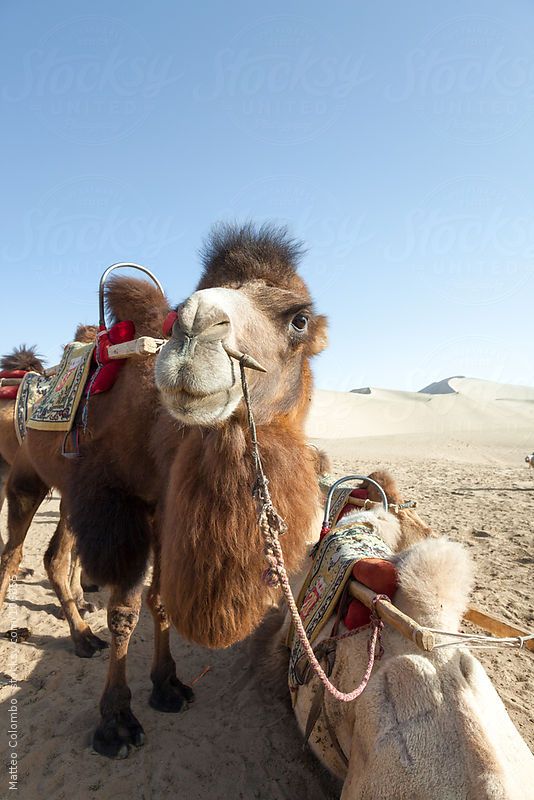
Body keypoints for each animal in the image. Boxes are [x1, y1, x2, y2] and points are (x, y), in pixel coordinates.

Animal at [1, 223, 330, 756]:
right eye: (184, 305)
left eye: (298, 320)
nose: (196, 328)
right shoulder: (122, 504)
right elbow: (124, 610)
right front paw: (116, 720)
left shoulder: (163, 506)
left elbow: (160, 601)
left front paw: (169, 684)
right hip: (26, 477)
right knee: (12, 555)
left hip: (64, 491)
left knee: (51, 557)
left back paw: (81, 637)